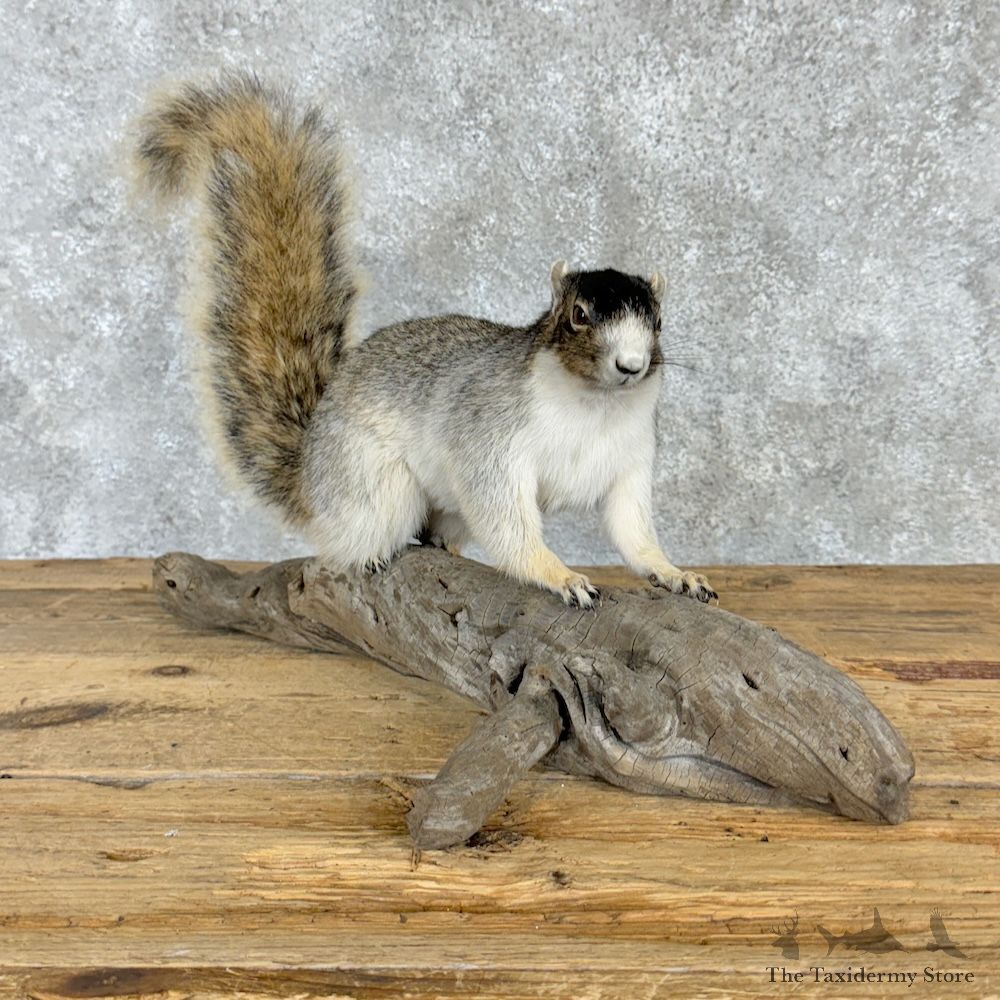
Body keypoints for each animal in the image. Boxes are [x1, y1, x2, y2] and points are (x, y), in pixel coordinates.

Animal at [133, 73, 716, 608]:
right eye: (577, 315)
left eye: (658, 322)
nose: (631, 365)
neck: (593, 406)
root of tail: (312, 481)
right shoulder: (490, 439)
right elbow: (507, 519)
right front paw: (558, 574)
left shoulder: (630, 463)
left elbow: (631, 530)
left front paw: (675, 573)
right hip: (377, 485)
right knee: (344, 545)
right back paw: (367, 555)